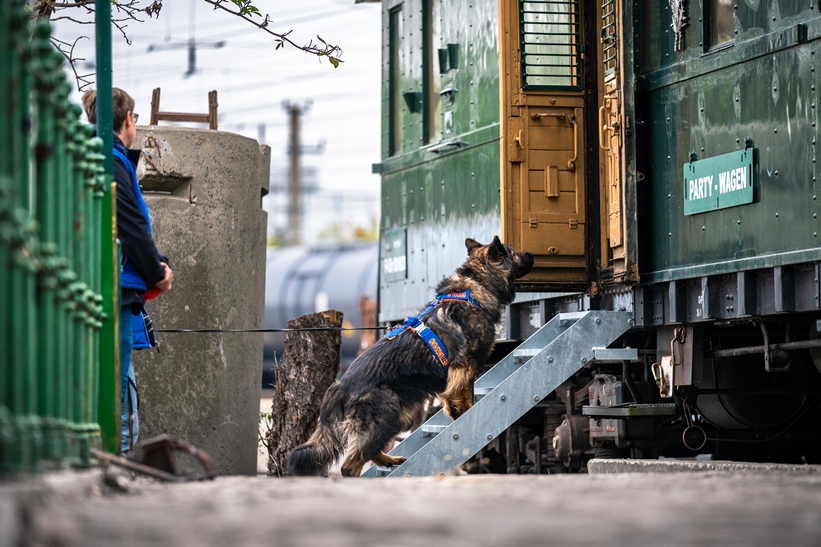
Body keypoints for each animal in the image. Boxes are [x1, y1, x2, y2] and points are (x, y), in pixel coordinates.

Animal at [286, 238, 532, 478]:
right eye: (511, 251)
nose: (532, 254)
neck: (475, 287)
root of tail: (340, 386)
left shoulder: (454, 376)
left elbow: (451, 401)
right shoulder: (465, 367)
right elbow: (466, 398)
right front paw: (468, 417)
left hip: (398, 416)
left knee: (368, 452)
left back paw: (390, 460)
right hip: (386, 416)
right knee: (350, 465)